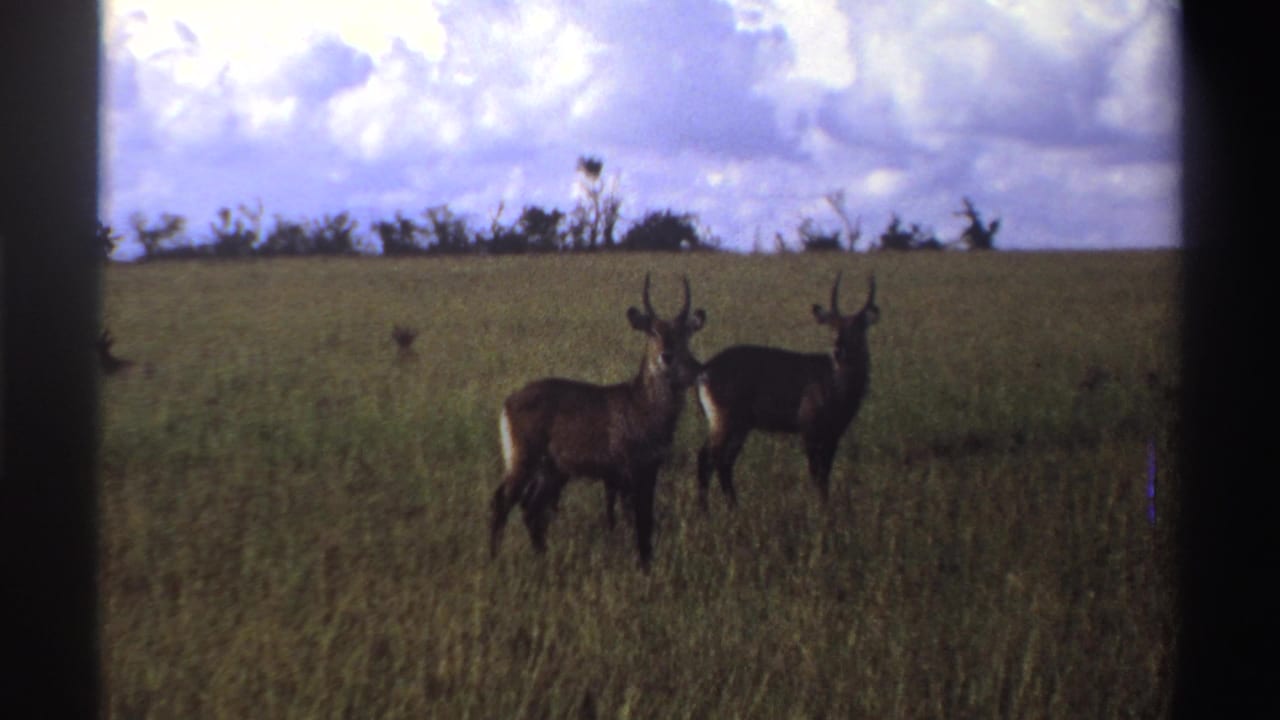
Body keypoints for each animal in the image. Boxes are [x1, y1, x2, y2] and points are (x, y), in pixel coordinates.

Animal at [490, 275, 706, 569]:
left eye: (684, 333)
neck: (643, 406)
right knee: (502, 501)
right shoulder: (628, 470)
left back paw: (542, 559)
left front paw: (647, 562)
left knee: (532, 508)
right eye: (653, 332)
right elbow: (635, 520)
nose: (667, 356)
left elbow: (646, 520)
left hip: (553, 470)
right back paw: (494, 560)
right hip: (523, 459)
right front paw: (642, 566)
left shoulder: (650, 468)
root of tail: (507, 402)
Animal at [695, 272, 878, 510]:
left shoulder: (834, 433)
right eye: (832, 327)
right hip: (725, 421)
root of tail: (704, 368)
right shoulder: (809, 428)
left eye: (858, 328)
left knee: (723, 462)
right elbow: (816, 474)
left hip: (739, 426)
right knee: (706, 458)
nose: (838, 351)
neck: (838, 385)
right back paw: (707, 511)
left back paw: (733, 508)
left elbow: (826, 473)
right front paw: (822, 511)